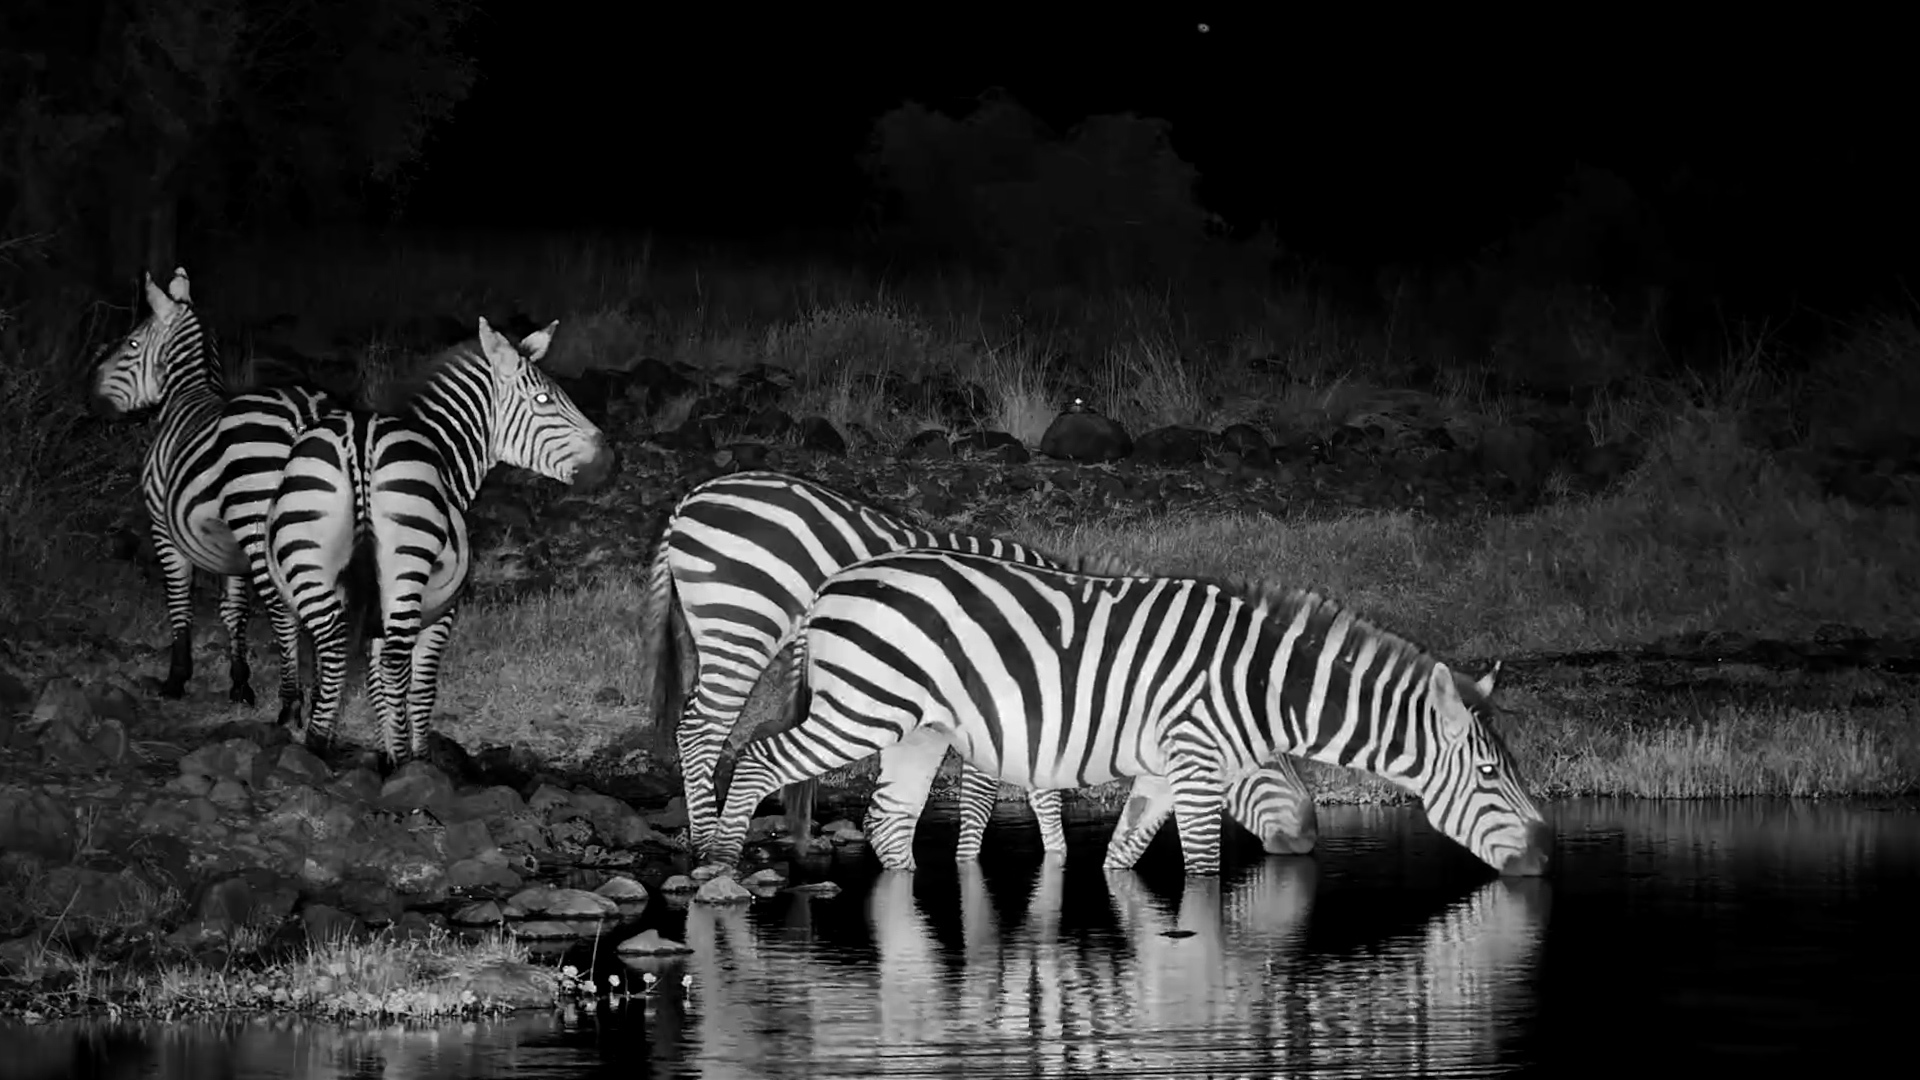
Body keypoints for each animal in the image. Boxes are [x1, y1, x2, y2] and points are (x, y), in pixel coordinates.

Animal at [88, 267, 337, 723]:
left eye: (131, 344)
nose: (88, 397)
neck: (185, 397)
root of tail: (305, 412)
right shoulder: (228, 545)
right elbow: (234, 609)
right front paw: (240, 684)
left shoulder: (163, 526)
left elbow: (179, 598)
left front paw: (176, 679)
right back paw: (318, 701)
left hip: (261, 526)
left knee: (284, 608)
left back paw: (290, 704)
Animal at [266, 316, 612, 766]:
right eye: (543, 399)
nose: (609, 461)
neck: (442, 449)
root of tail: (359, 439)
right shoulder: (442, 610)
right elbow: (420, 686)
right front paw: (414, 755)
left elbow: (375, 684)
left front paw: (387, 751)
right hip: (407, 568)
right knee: (394, 663)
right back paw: (403, 765)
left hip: (309, 566)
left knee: (333, 649)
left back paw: (318, 747)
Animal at [637, 469, 1317, 866]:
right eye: (1267, 752)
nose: (1311, 839)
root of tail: (690, 498)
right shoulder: (1010, 697)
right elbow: (992, 801)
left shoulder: (1032, 703)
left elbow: (1031, 796)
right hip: (742, 624)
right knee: (701, 729)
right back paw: (705, 842)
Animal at [710, 549, 1554, 877]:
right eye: (1489, 774)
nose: (1548, 858)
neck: (1252, 682)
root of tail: (834, 582)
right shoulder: (1196, 763)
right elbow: (1204, 872)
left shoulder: (1160, 772)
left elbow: (1121, 860)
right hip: (859, 710)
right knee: (756, 760)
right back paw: (717, 863)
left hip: (917, 730)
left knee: (888, 824)